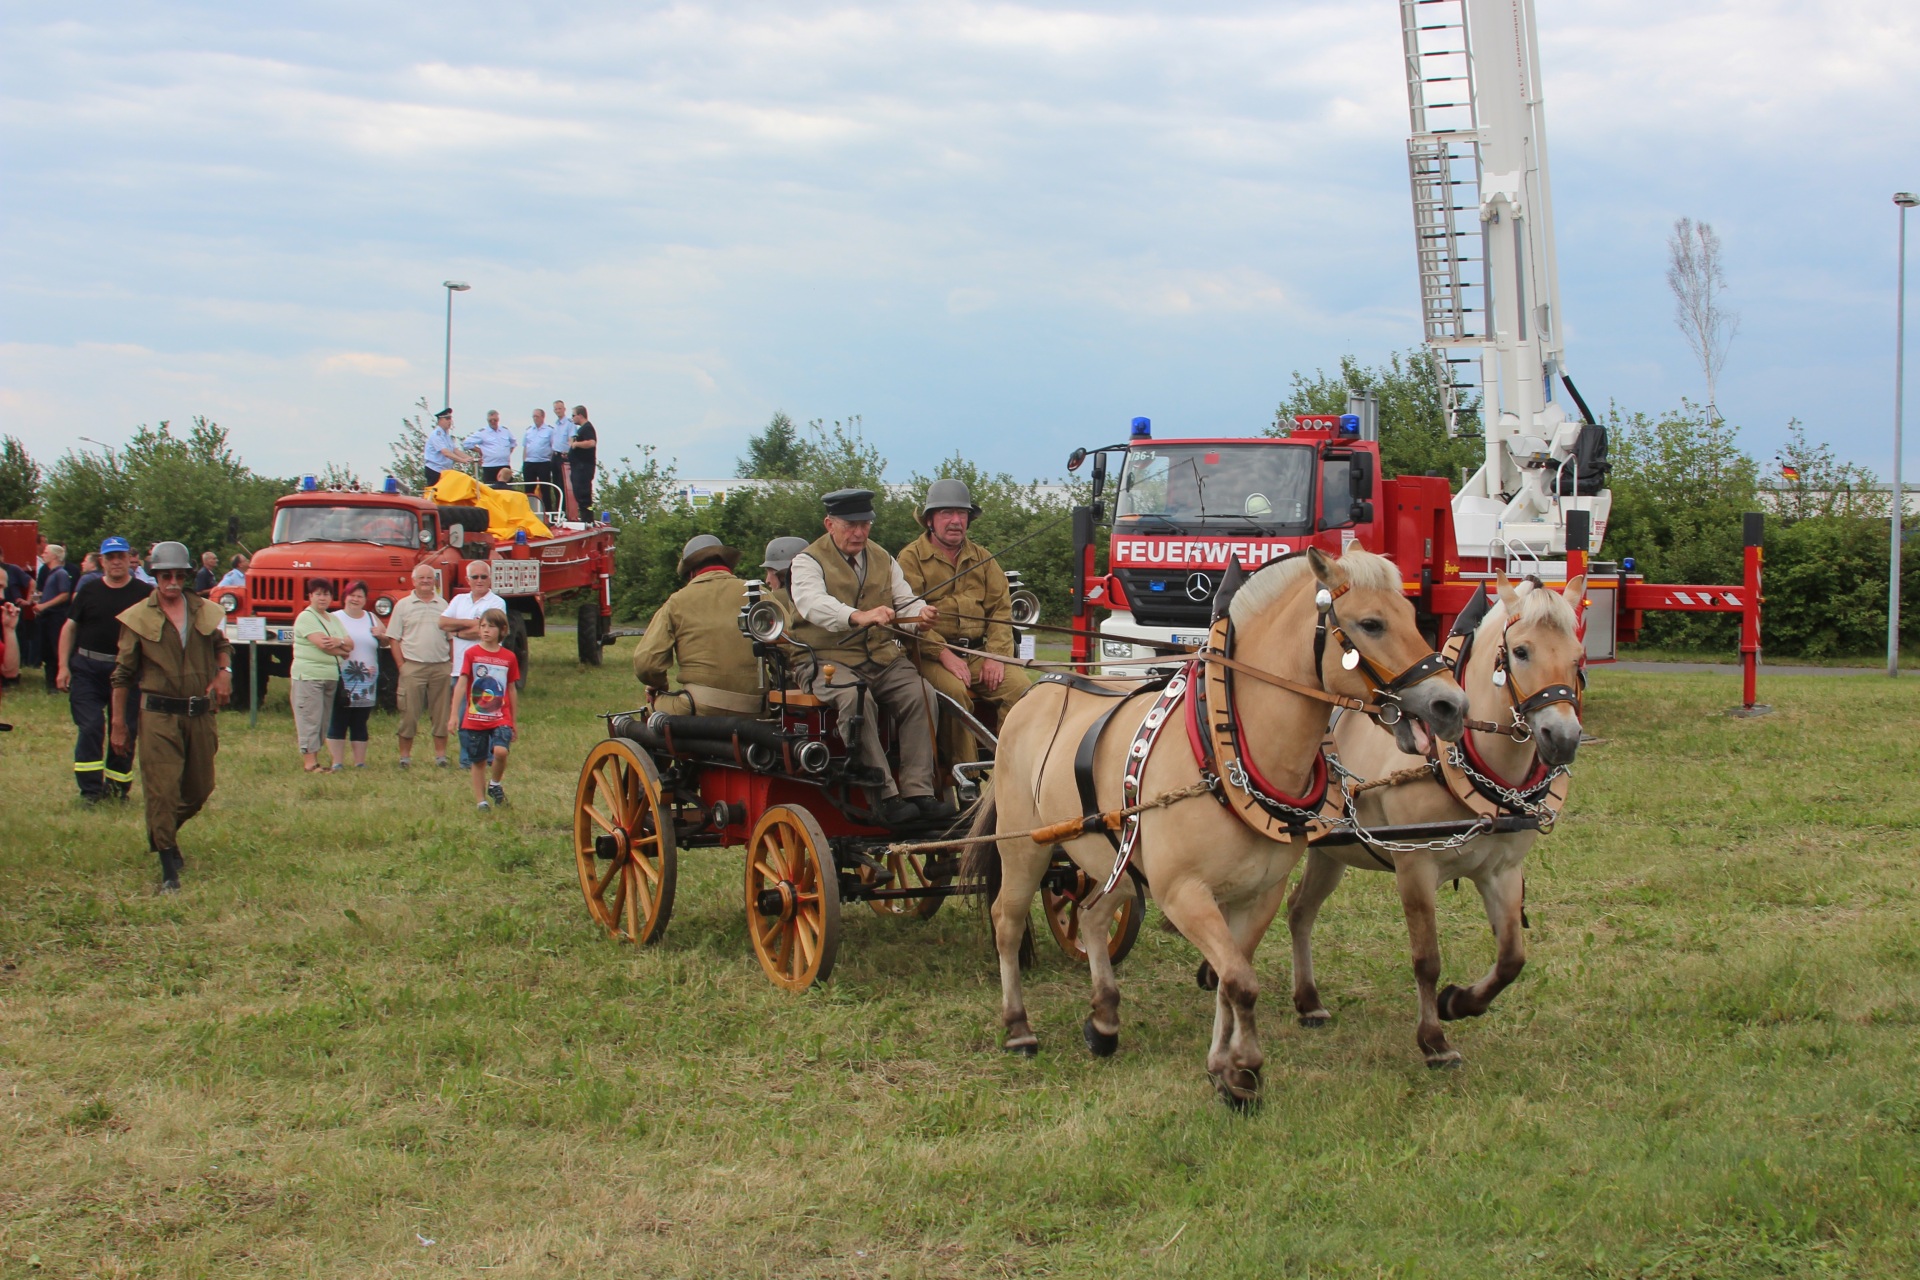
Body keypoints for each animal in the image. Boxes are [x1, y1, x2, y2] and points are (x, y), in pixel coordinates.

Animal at [967, 545, 1459, 1105]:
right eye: (1371, 623)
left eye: (1414, 618)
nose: (1449, 703)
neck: (1228, 749)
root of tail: (1038, 688)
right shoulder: (1184, 893)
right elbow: (1241, 981)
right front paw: (1245, 1070)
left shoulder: (1260, 894)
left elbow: (1229, 977)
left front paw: (1224, 1066)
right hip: (1026, 848)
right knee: (1007, 922)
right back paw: (1018, 1027)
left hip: (1113, 860)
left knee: (1090, 916)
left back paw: (1105, 1019)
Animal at [1297, 575, 1597, 1066]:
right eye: (1521, 651)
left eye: (1578, 657)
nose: (1564, 737)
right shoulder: (1415, 867)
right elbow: (1427, 959)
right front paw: (1434, 1040)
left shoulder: (1502, 871)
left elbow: (1512, 957)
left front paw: (1458, 1002)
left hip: (1329, 853)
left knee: (1297, 912)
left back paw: (1305, 1001)